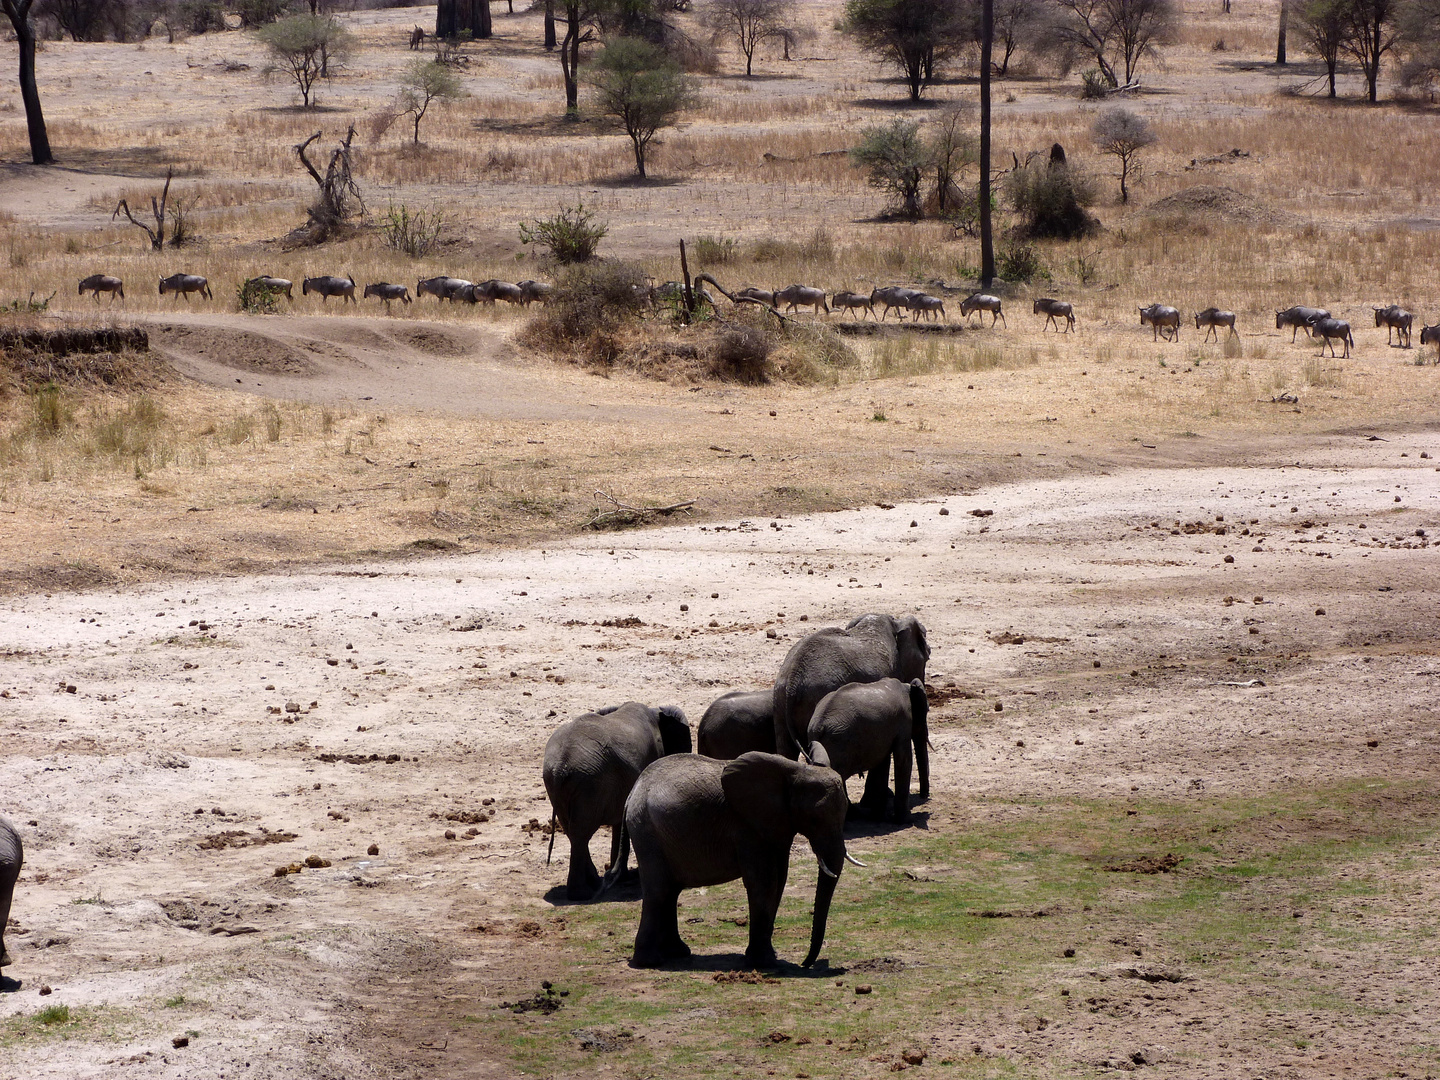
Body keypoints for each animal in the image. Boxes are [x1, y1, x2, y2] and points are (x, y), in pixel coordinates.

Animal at [544, 702, 691, 904]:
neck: (656, 711)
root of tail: (560, 766)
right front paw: (624, 878)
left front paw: (620, 877)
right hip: (589, 784)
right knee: (581, 832)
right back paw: (583, 893)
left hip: (563, 786)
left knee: (572, 831)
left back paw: (594, 884)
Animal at [616, 754, 852, 973]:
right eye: (814, 820)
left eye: (844, 814)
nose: (805, 964)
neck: (797, 770)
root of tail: (633, 792)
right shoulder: (747, 827)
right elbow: (764, 882)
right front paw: (764, 963)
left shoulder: (777, 825)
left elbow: (779, 880)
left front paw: (766, 957)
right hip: (647, 832)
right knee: (659, 890)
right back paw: (650, 962)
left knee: (671, 891)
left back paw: (677, 953)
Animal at [806, 679, 927, 823]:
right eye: (926, 711)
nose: (924, 796)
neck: (907, 686)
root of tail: (819, 725)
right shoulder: (903, 722)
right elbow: (903, 759)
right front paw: (907, 820)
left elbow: (882, 761)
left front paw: (878, 818)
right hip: (839, 742)